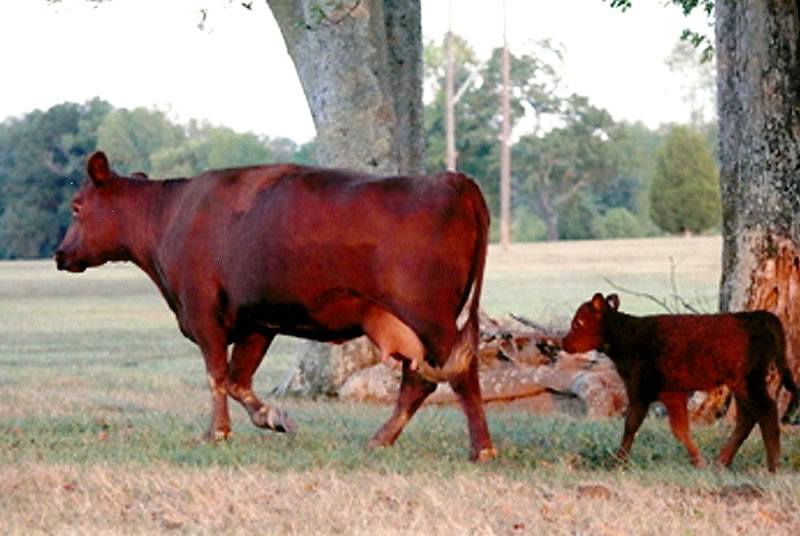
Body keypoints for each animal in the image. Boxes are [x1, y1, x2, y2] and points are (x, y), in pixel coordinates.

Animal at [54, 150, 494, 460]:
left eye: (77, 205)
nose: (60, 254)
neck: (170, 216)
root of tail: (453, 180)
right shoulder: (256, 324)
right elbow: (237, 380)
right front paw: (274, 418)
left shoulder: (203, 315)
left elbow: (216, 376)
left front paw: (217, 433)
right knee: (418, 380)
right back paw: (380, 440)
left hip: (432, 318)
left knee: (458, 373)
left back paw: (481, 449)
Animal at [564, 294, 800, 474]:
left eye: (578, 323)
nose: (563, 343)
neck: (630, 337)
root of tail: (756, 316)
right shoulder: (664, 393)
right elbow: (673, 428)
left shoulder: (644, 391)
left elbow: (637, 426)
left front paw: (617, 462)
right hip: (741, 385)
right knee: (747, 418)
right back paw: (721, 462)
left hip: (748, 381)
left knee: (766, 411)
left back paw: (773, 467)